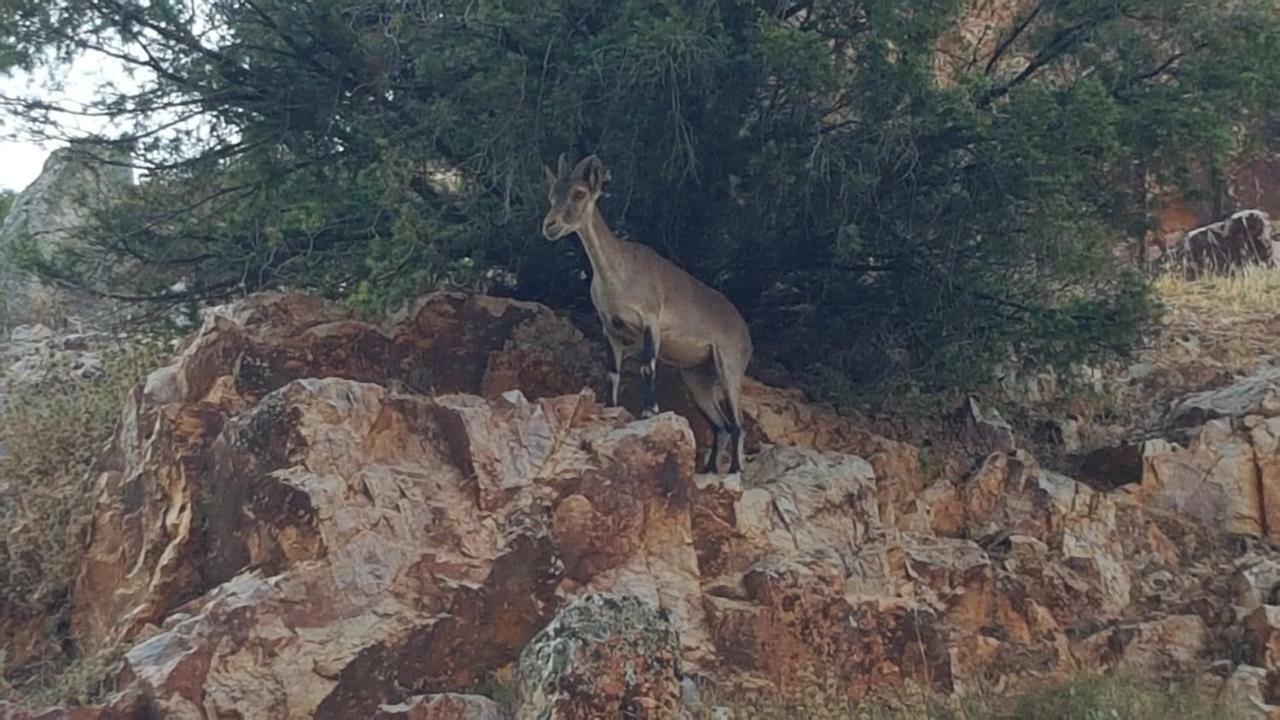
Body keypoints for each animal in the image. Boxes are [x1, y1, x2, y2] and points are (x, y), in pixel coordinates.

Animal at [537, 152, 747, 471]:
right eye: (551, 195)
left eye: (579, 193)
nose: (550, 225)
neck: (619, 274)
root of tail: (745, 330)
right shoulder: (609, 327)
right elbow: (612, 372)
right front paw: (611, 408)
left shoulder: (651, 319)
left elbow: (648, 364)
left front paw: (650, 410)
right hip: (698, 375)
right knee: (719, 424)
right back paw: (710, 468)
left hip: (729, 365)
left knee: (737, 423)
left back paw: (735, 469)